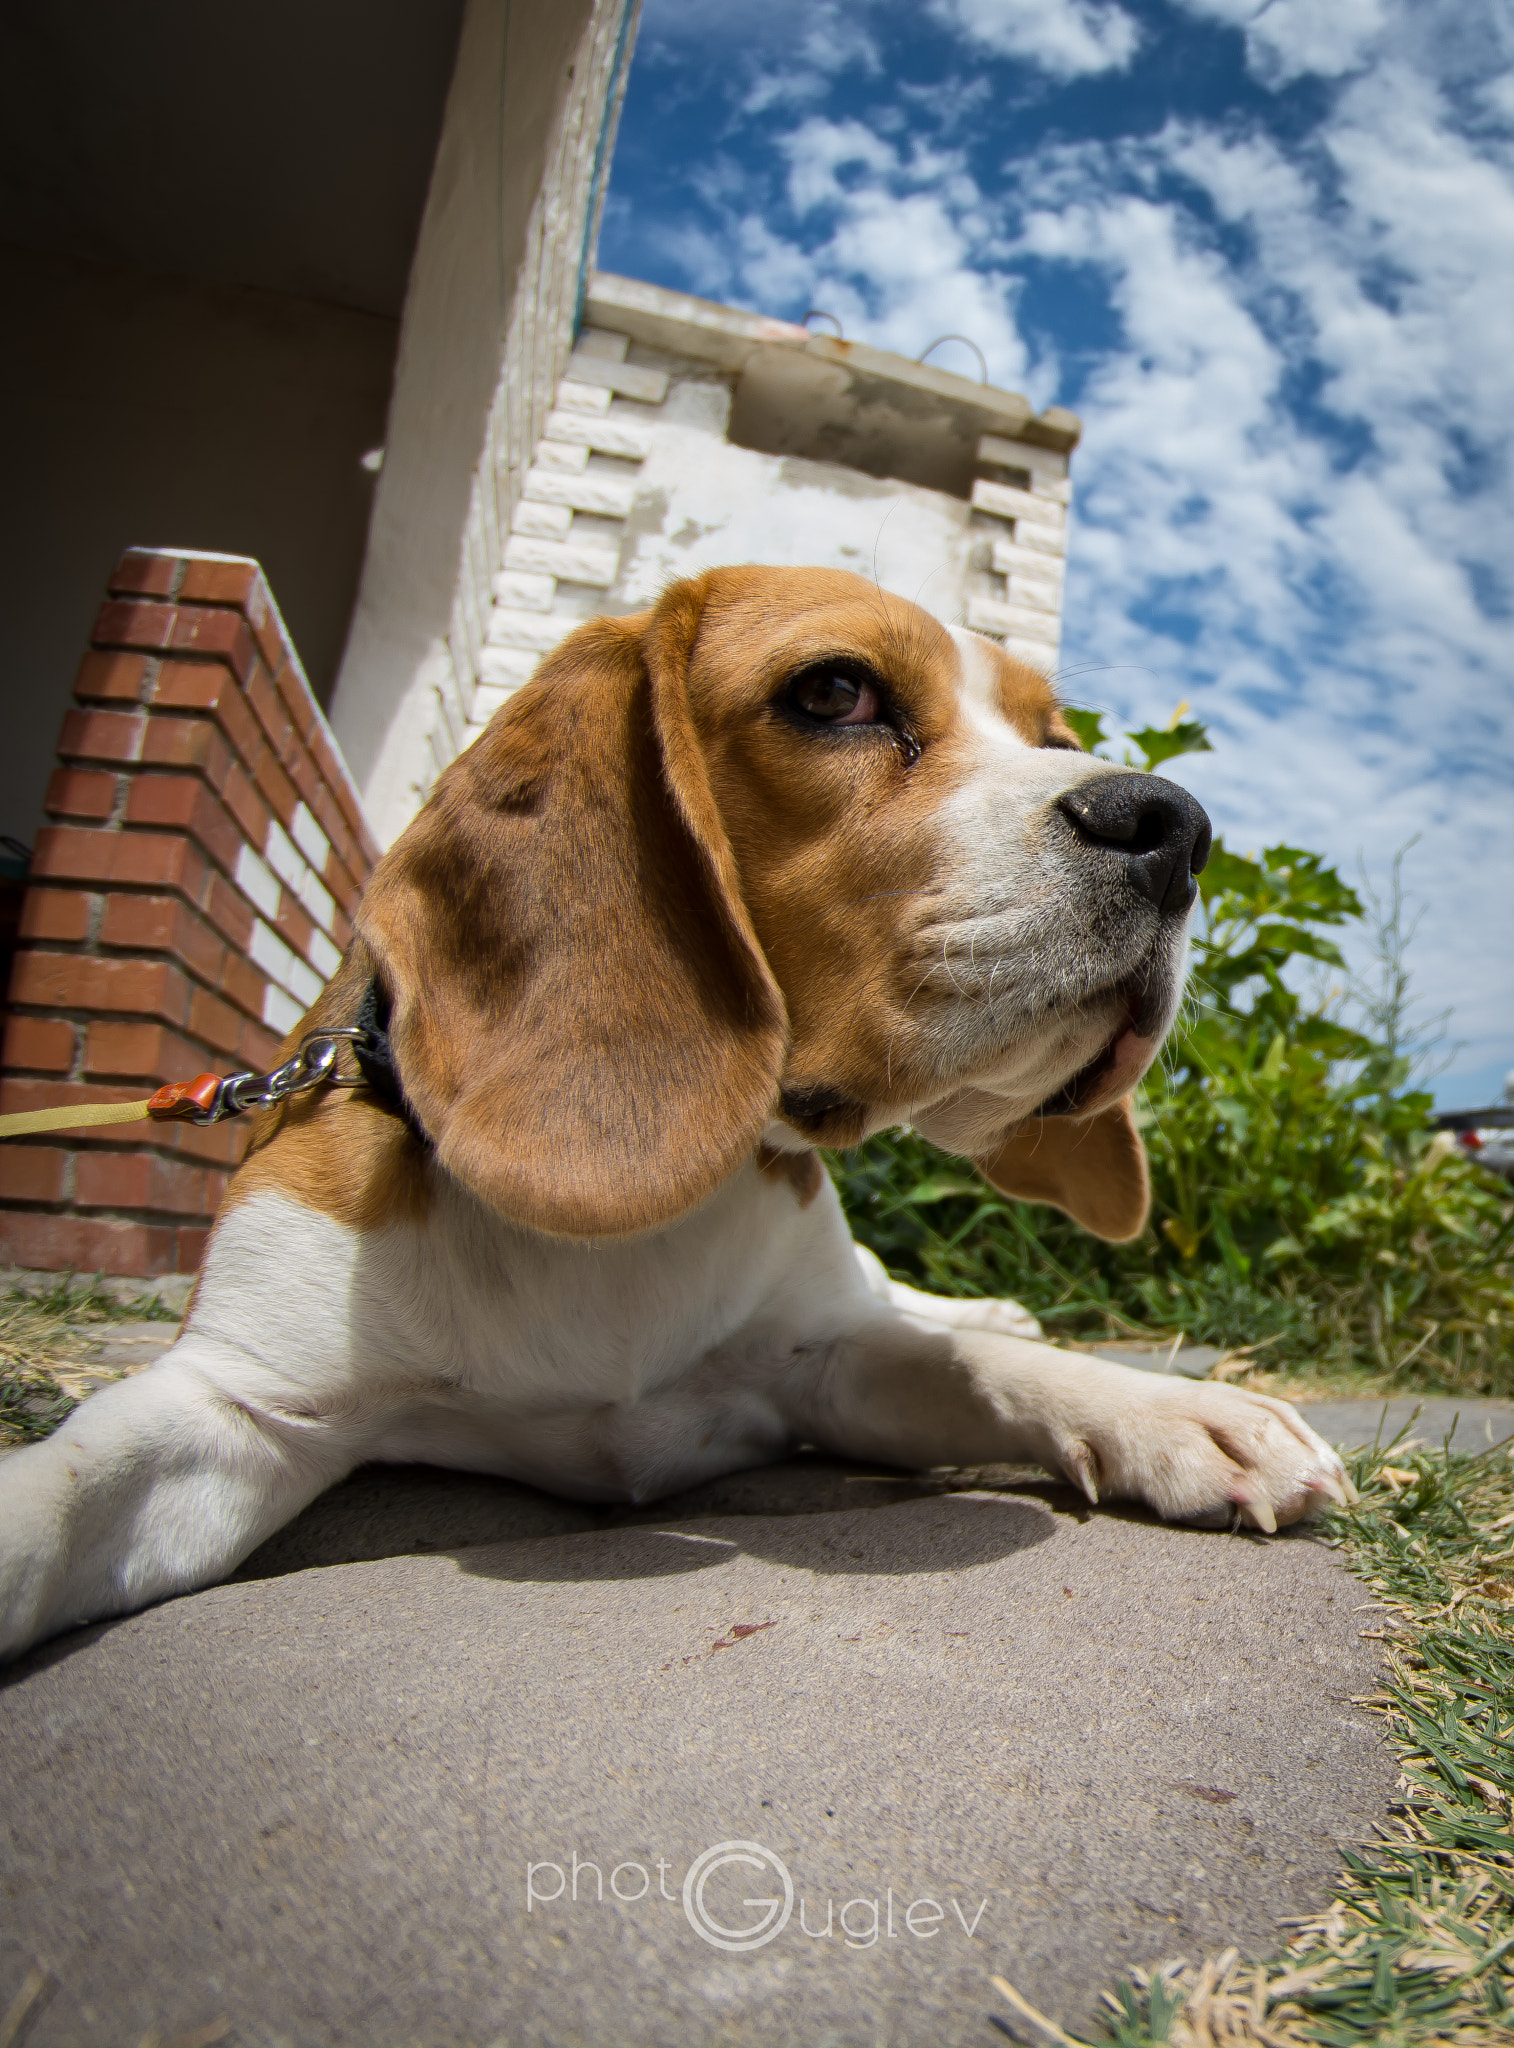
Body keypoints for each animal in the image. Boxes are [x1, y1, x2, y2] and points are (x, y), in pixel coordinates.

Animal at [0, 569, 1352, 1654]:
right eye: (834, 691)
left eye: (1049, 731)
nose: (1174, 827)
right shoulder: (238, 1400)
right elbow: (65, 1482)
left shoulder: (828, 1357)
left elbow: (982, 1362)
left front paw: (1172, 1410)